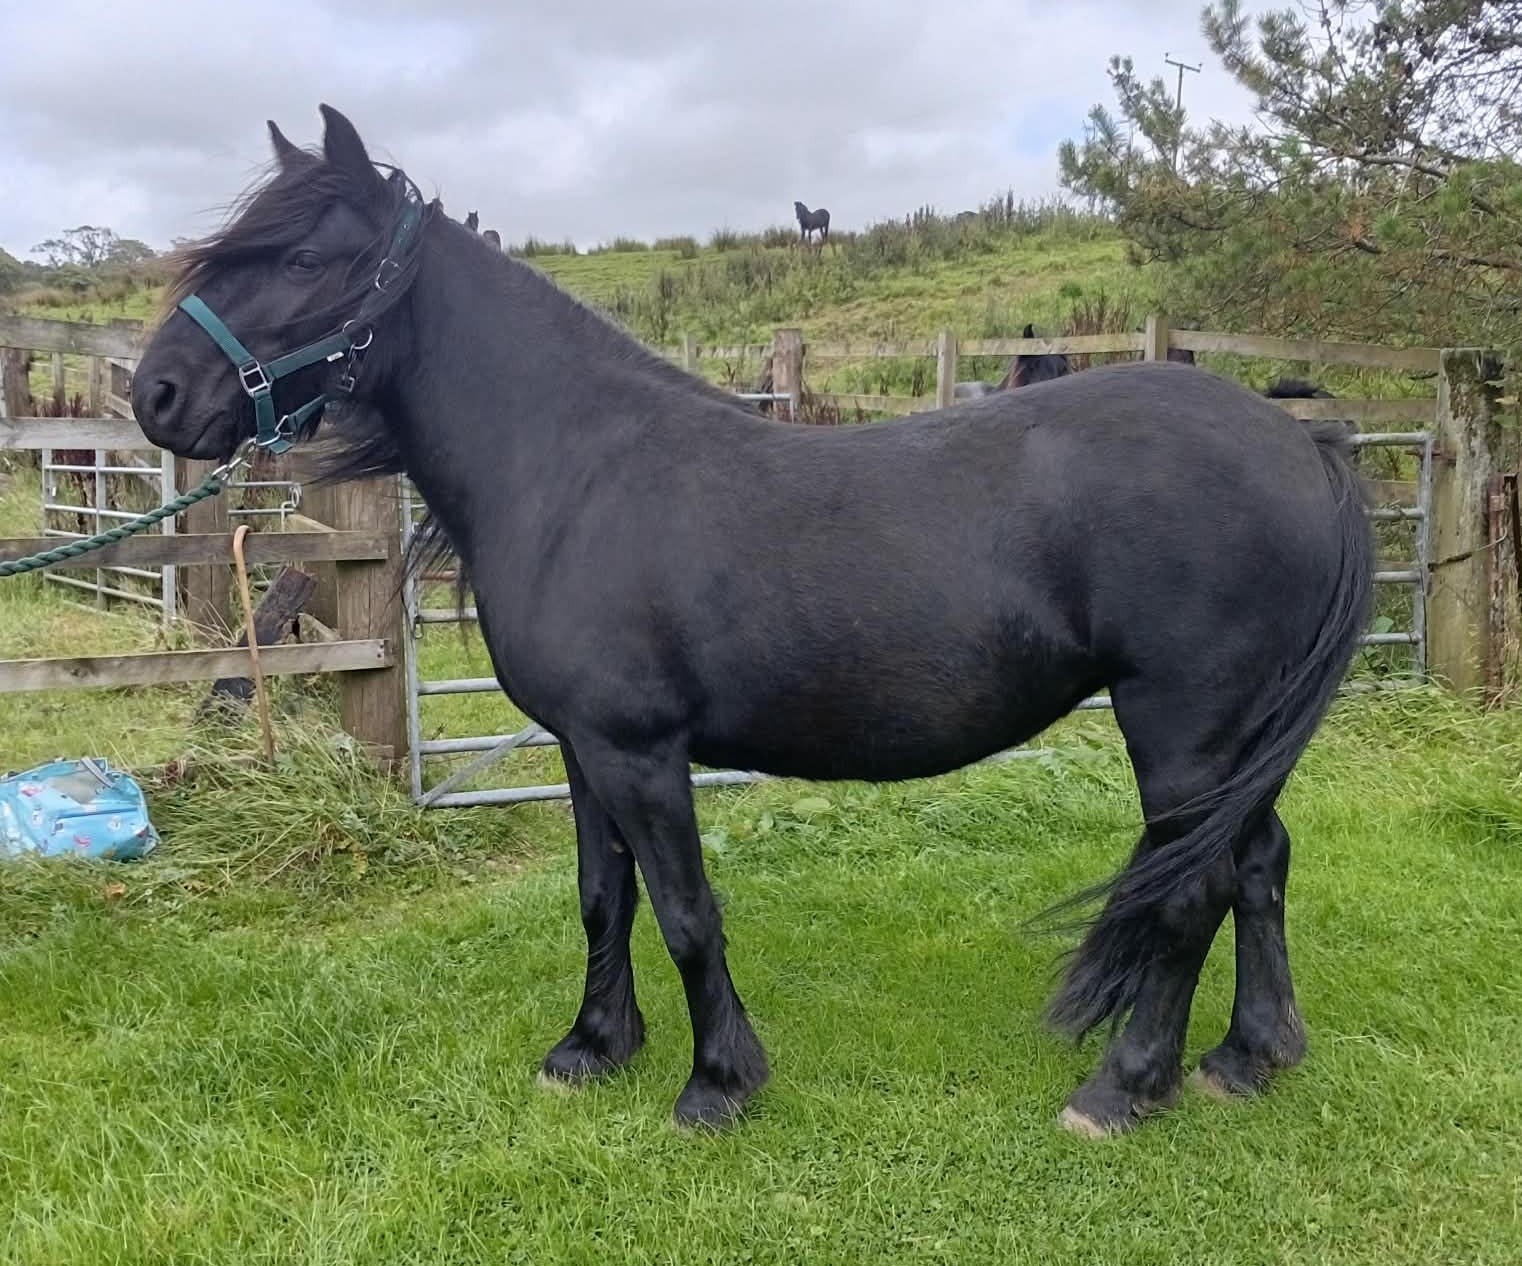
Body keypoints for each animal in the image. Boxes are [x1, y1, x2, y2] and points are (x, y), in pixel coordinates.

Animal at [132, 105, 1375, 1139]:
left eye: (299, 257)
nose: (156, 395)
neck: (576, 468)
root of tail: (1296, 443)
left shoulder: (640, 751)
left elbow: (685, 909)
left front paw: (716, 1084)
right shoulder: (584, 750)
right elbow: (602, 896)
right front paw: (592, 1050)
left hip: (1182, 728)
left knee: (1195, 888)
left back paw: (1123, 1088)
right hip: (1231, 742)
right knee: (1258, 861)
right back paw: (1249, 1056)